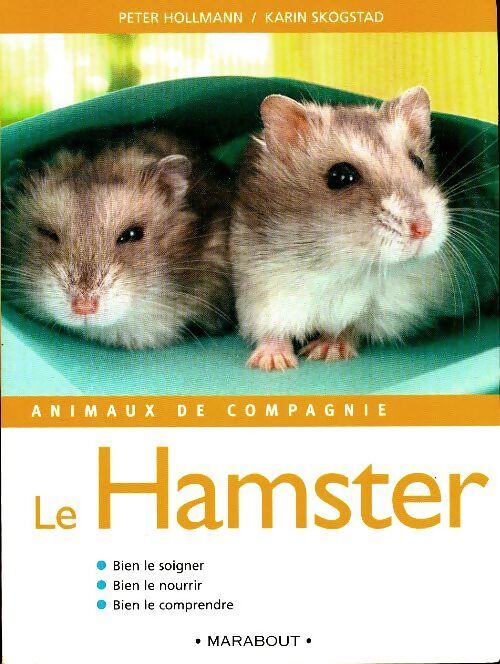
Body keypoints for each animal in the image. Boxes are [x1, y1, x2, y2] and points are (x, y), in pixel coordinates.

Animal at [231, 87, 498, 370]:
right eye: (340, 176)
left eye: (418, 162)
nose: (424, 229)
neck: (341, 265)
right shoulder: (263, 292)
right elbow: (272, 330)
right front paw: (271, 364)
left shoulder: (389, 307)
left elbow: (349, 326)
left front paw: (327, 352)